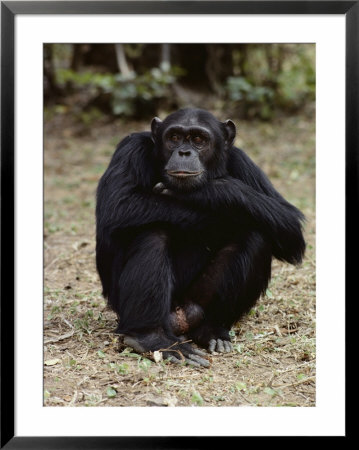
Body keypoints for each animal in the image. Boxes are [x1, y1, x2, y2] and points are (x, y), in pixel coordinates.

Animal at [96, 108, 306, 366]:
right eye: (174, 137)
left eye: (198, 139)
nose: (184, 152)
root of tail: (179, 320)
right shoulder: (130, 149)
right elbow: (117, 204)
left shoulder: (243, 161)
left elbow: (290, 226)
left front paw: (214, 190)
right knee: (153, 232)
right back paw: (149, 337)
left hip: (193, 306)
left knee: (255, 235)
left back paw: (210, 329)